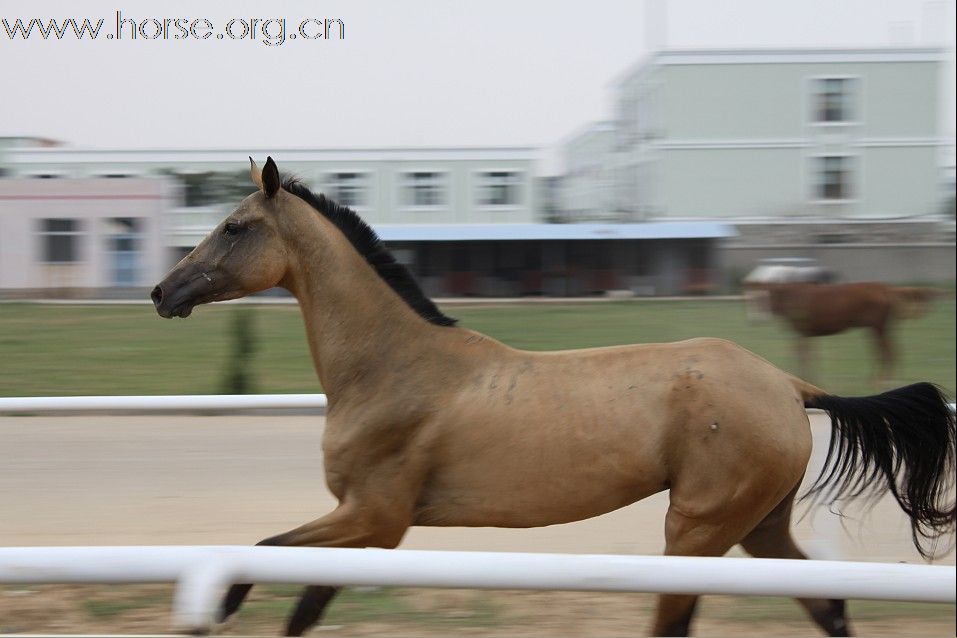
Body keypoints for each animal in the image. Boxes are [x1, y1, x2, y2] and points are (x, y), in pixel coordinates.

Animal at [153, 158, 952, 636]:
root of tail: (787, 383)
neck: (394, 372)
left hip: (696, 528)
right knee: (827, 604)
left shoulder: (374, 518)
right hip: (757, 526)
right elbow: (302, 603)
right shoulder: (370, 530)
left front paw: (214, 606)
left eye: (234, 226)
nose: (163, 291)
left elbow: (261, 553)